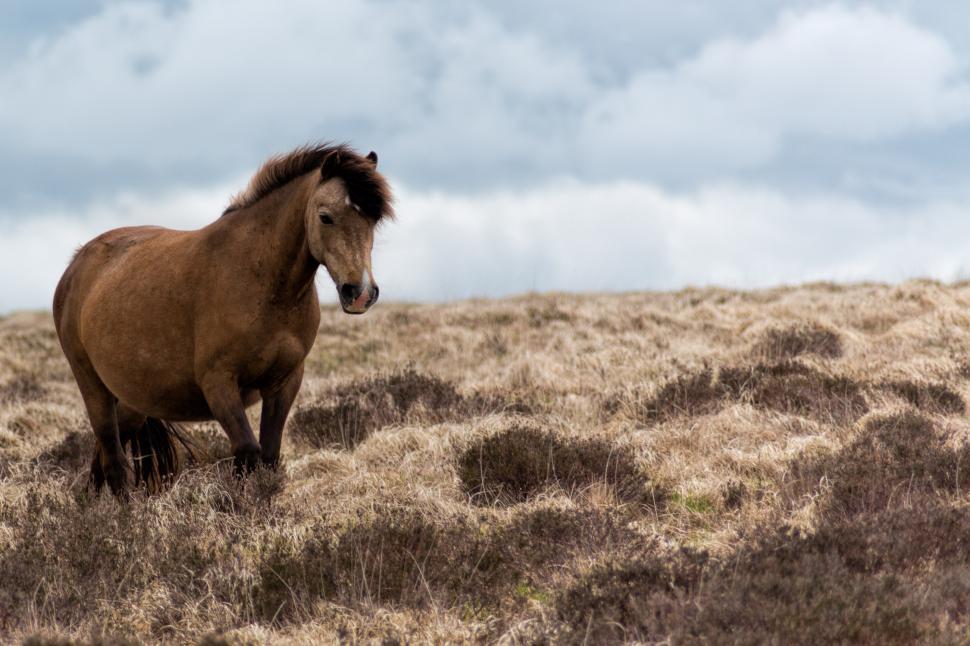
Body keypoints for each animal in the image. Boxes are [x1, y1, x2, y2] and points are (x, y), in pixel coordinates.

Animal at [53, 143, 394, 496]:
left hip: (134, 400)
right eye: (326, 217)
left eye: (373, 219)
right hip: (92, 386)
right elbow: (246, 451)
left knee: (105, 453)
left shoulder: (285, 382)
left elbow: (269, 454)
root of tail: (77, 264)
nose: (361, 292)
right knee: (113, 457)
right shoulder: (219, 383)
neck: (261, 279)